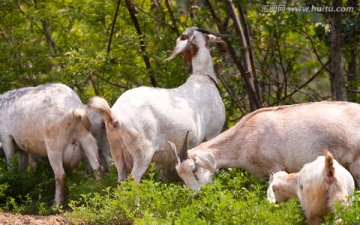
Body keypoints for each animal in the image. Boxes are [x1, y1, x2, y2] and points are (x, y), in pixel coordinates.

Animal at [88, 27, 226, 184]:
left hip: (116, 150)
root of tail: (114, 116)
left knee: (121, 180)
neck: (202, 78)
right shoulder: (213, 132)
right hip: (142, 151)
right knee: (134, 180)